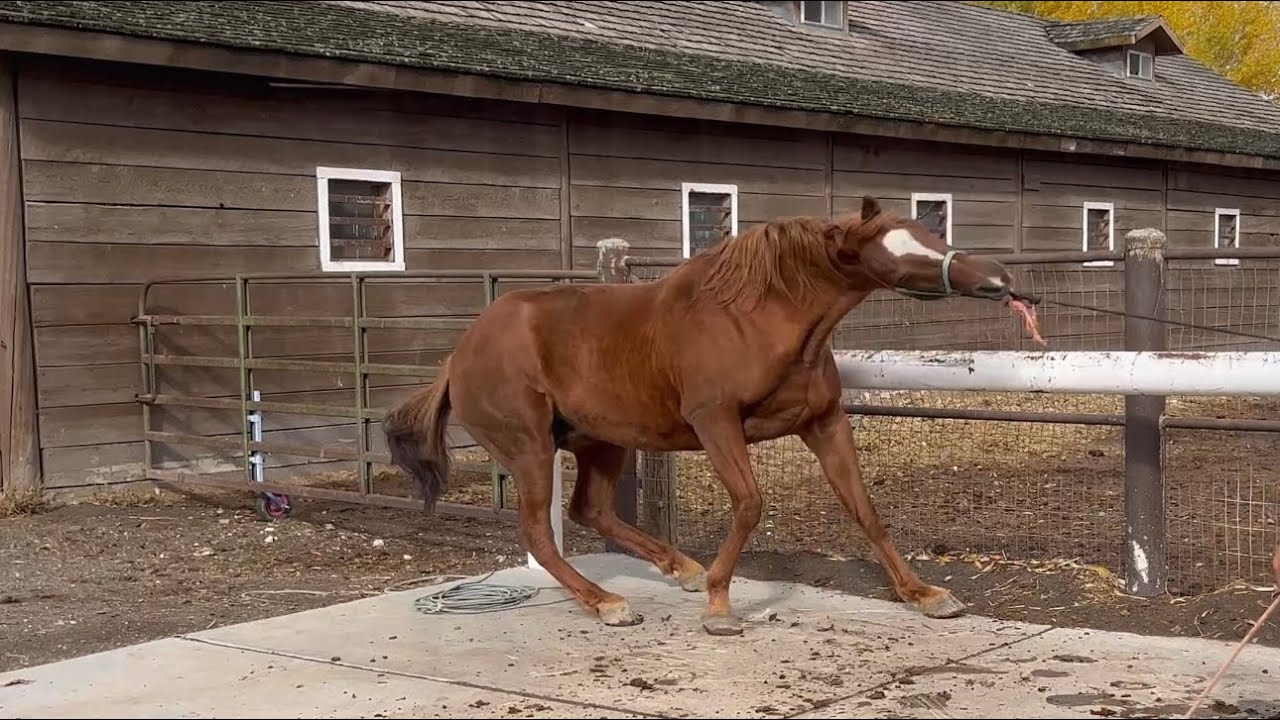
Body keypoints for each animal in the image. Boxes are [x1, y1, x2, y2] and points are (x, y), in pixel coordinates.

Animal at [383, 196, 1032, 636]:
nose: (999, 278)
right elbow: (749, 504)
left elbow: (864, 509)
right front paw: (719, 604)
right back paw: (611, 603)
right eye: (897, 253)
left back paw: (680, 568)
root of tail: (457, 357)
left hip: (601, 441)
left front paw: (925, 594)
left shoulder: (823, 423)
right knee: (541, 534)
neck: (755, 317)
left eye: (927, 231)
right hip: (530, 449)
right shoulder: (715, 422)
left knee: (588, 510)